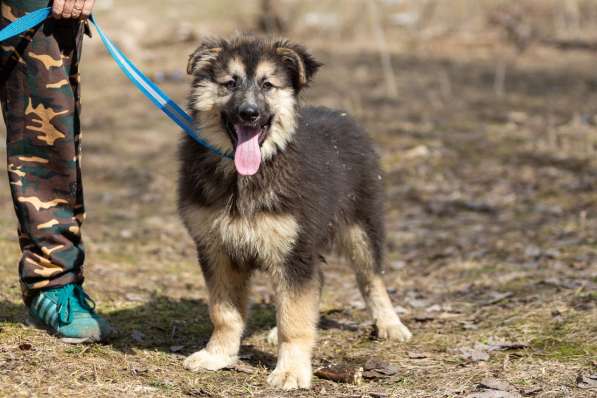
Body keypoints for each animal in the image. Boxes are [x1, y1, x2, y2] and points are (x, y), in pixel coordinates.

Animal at [177, 35, 410, 390]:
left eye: (268, 85)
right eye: (230, 83)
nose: (249, 113)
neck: (249, 174)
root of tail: (342, 114)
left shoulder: (294, 251)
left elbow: (295, 320)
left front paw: (291, 370)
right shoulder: (216, 250)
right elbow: (225, 312)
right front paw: (218, 355)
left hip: (361, 225)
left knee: (372, 278)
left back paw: (390, 324)